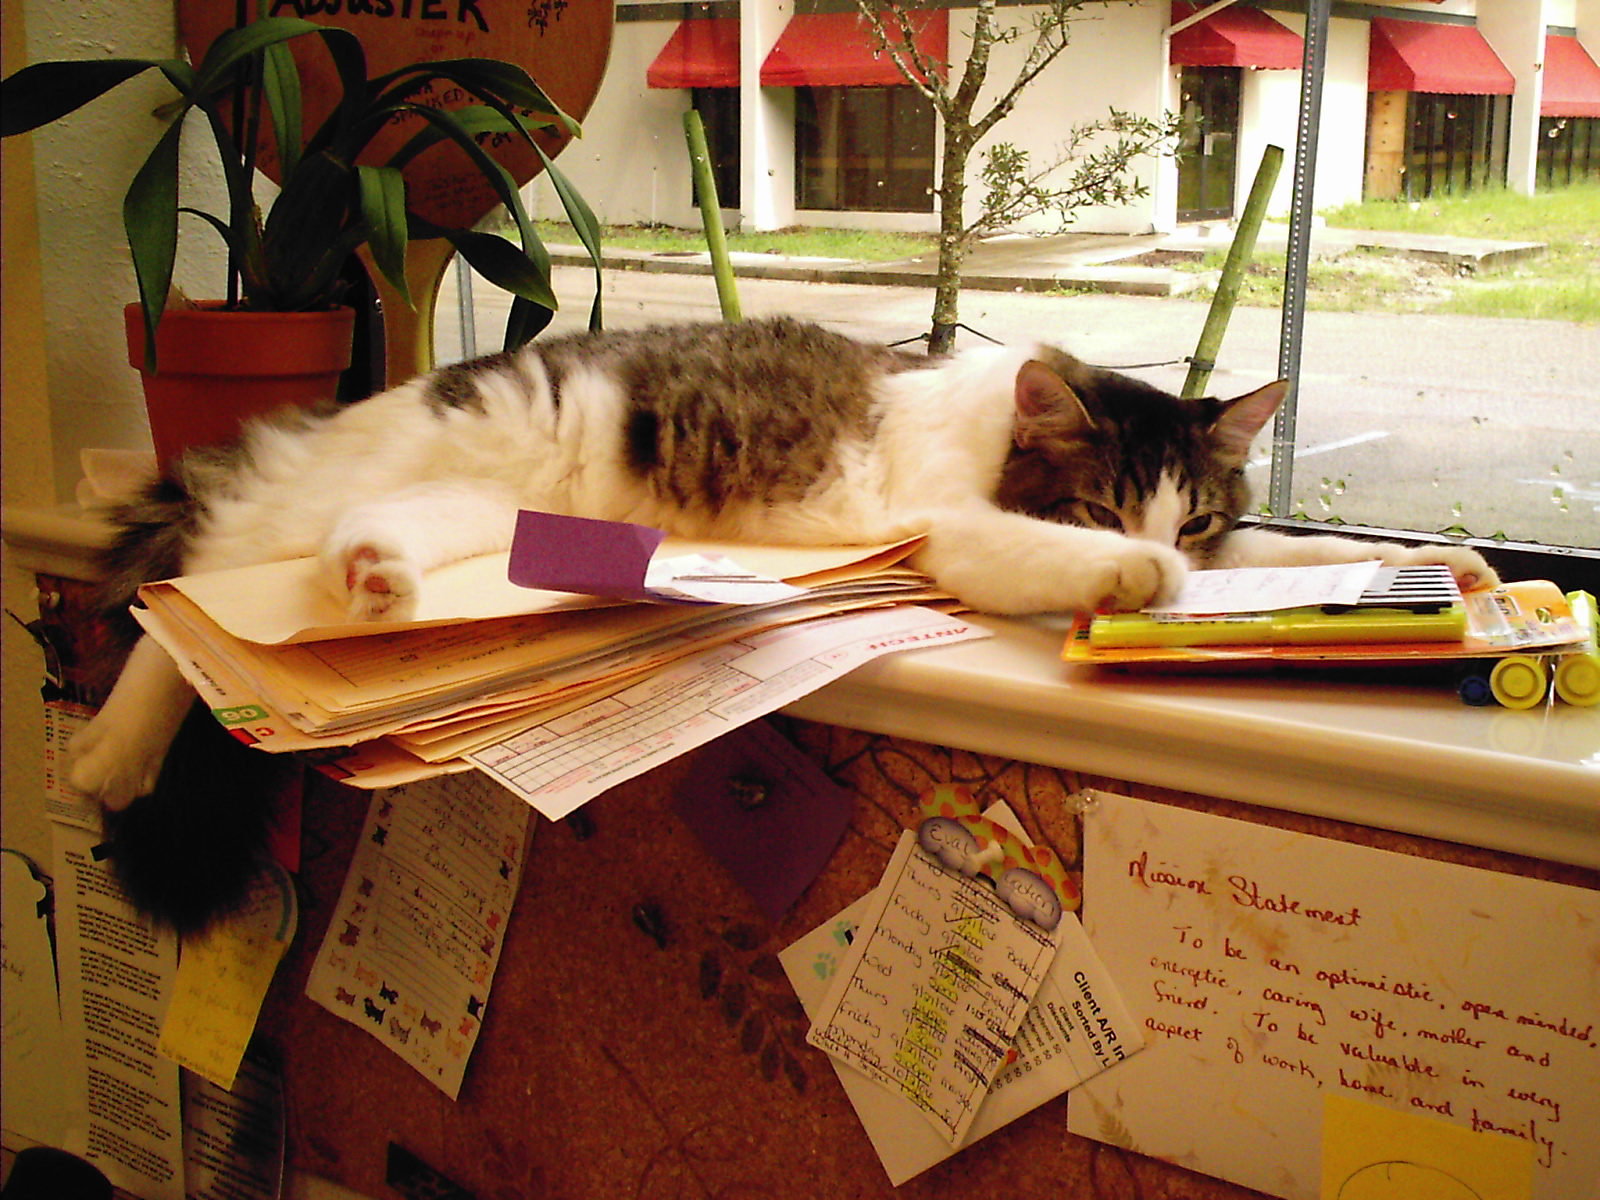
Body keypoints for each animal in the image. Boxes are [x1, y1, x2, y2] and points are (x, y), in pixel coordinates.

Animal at [62, 316, 1484, 928]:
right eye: (1101, 506)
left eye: (1192, 515)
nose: (1160, 549)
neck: (994, 426)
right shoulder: (951, 532)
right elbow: (1058, 558)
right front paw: (1137, 587)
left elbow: (1290, 551)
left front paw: (1436, 564)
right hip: (301, 509)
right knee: (176, 595)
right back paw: (116, 752)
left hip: (468, 510)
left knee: (344, 551)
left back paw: (378, 585)